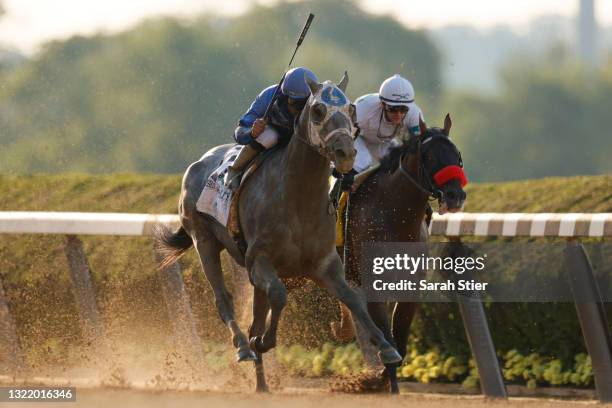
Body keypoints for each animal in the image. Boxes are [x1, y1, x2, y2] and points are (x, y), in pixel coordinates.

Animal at [153, 75, 404, 394]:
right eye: (318, 110)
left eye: (351, 109)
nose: (346, 154)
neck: (297, 199)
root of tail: (198, 163)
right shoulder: (259, 261)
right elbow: (278, 296)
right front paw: (261, 342)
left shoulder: (324, 264)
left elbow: (353, 300)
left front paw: (387, 347)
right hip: (204, 240)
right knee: (223, 299)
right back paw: (244, 347)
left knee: (255, 315)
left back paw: (261, 383)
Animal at [338, 114, 466, 392]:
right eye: (429, 156)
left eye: (457, 155)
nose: (455, 195)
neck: (394, 215)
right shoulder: (374, 283)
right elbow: (387, 337)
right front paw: (384, 381)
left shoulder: (411, 285)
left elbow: (400, 340)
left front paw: (380, 380)